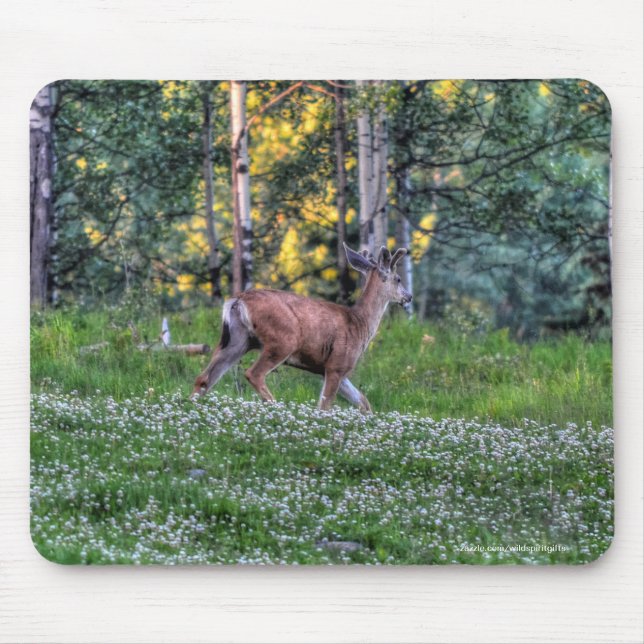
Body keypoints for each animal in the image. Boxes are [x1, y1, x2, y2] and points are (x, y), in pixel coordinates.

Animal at [191, 243, 412, 412]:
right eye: (398, 279)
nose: (408, 296)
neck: (360, 322)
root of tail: (237, 300)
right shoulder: (337, 363)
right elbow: (324, 406)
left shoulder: (334, 369)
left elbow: (363, 402)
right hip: (282, 340)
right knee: (253, 373)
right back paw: (276, 407)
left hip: (237, 339)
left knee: (204, 378)